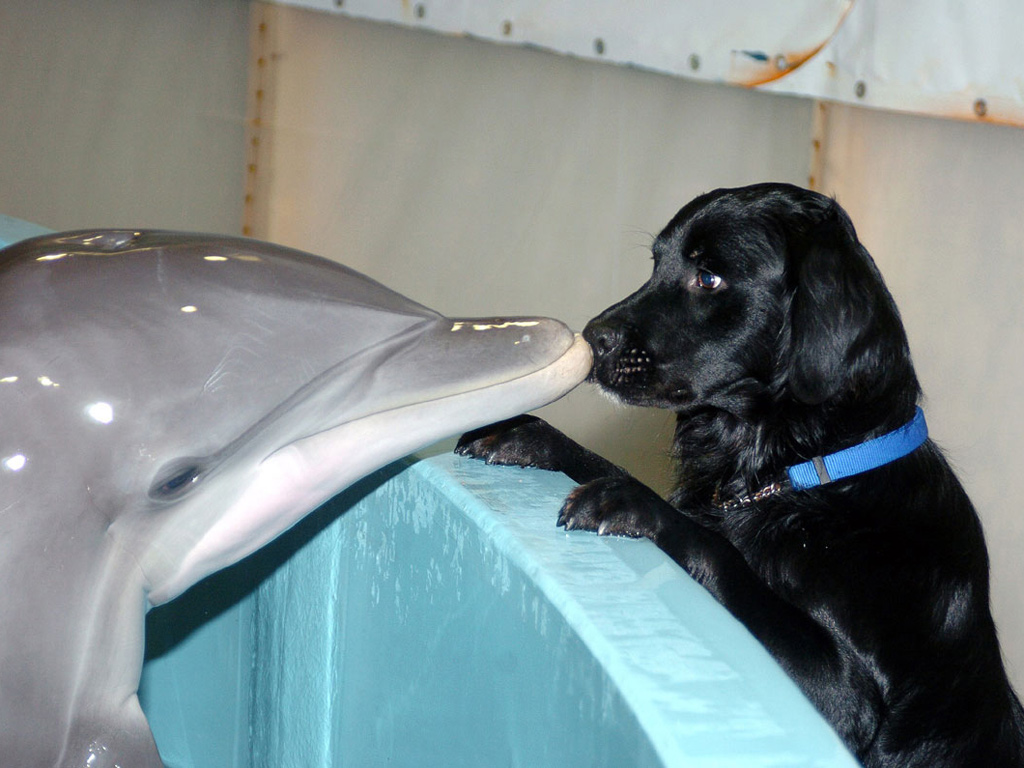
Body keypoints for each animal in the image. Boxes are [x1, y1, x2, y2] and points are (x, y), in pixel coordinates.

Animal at [460, 183, 1024, 765]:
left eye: (709, 278)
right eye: (657, 263)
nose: (592, 340)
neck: (810, 480)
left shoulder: (843, 698)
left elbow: (717, 547)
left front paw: (631, 502)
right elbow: (608, 465)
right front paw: (530, 436)